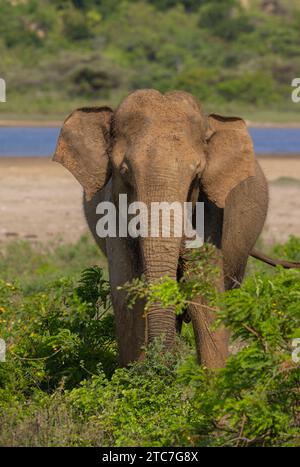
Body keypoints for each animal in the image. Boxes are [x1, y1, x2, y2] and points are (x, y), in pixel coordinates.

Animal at [53, 89, 298, 372]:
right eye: (124, 171)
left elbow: (206, 294)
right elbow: (128, 293)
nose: (165, 364)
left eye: (197, 175)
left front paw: (213, 380)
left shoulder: (211, 213)